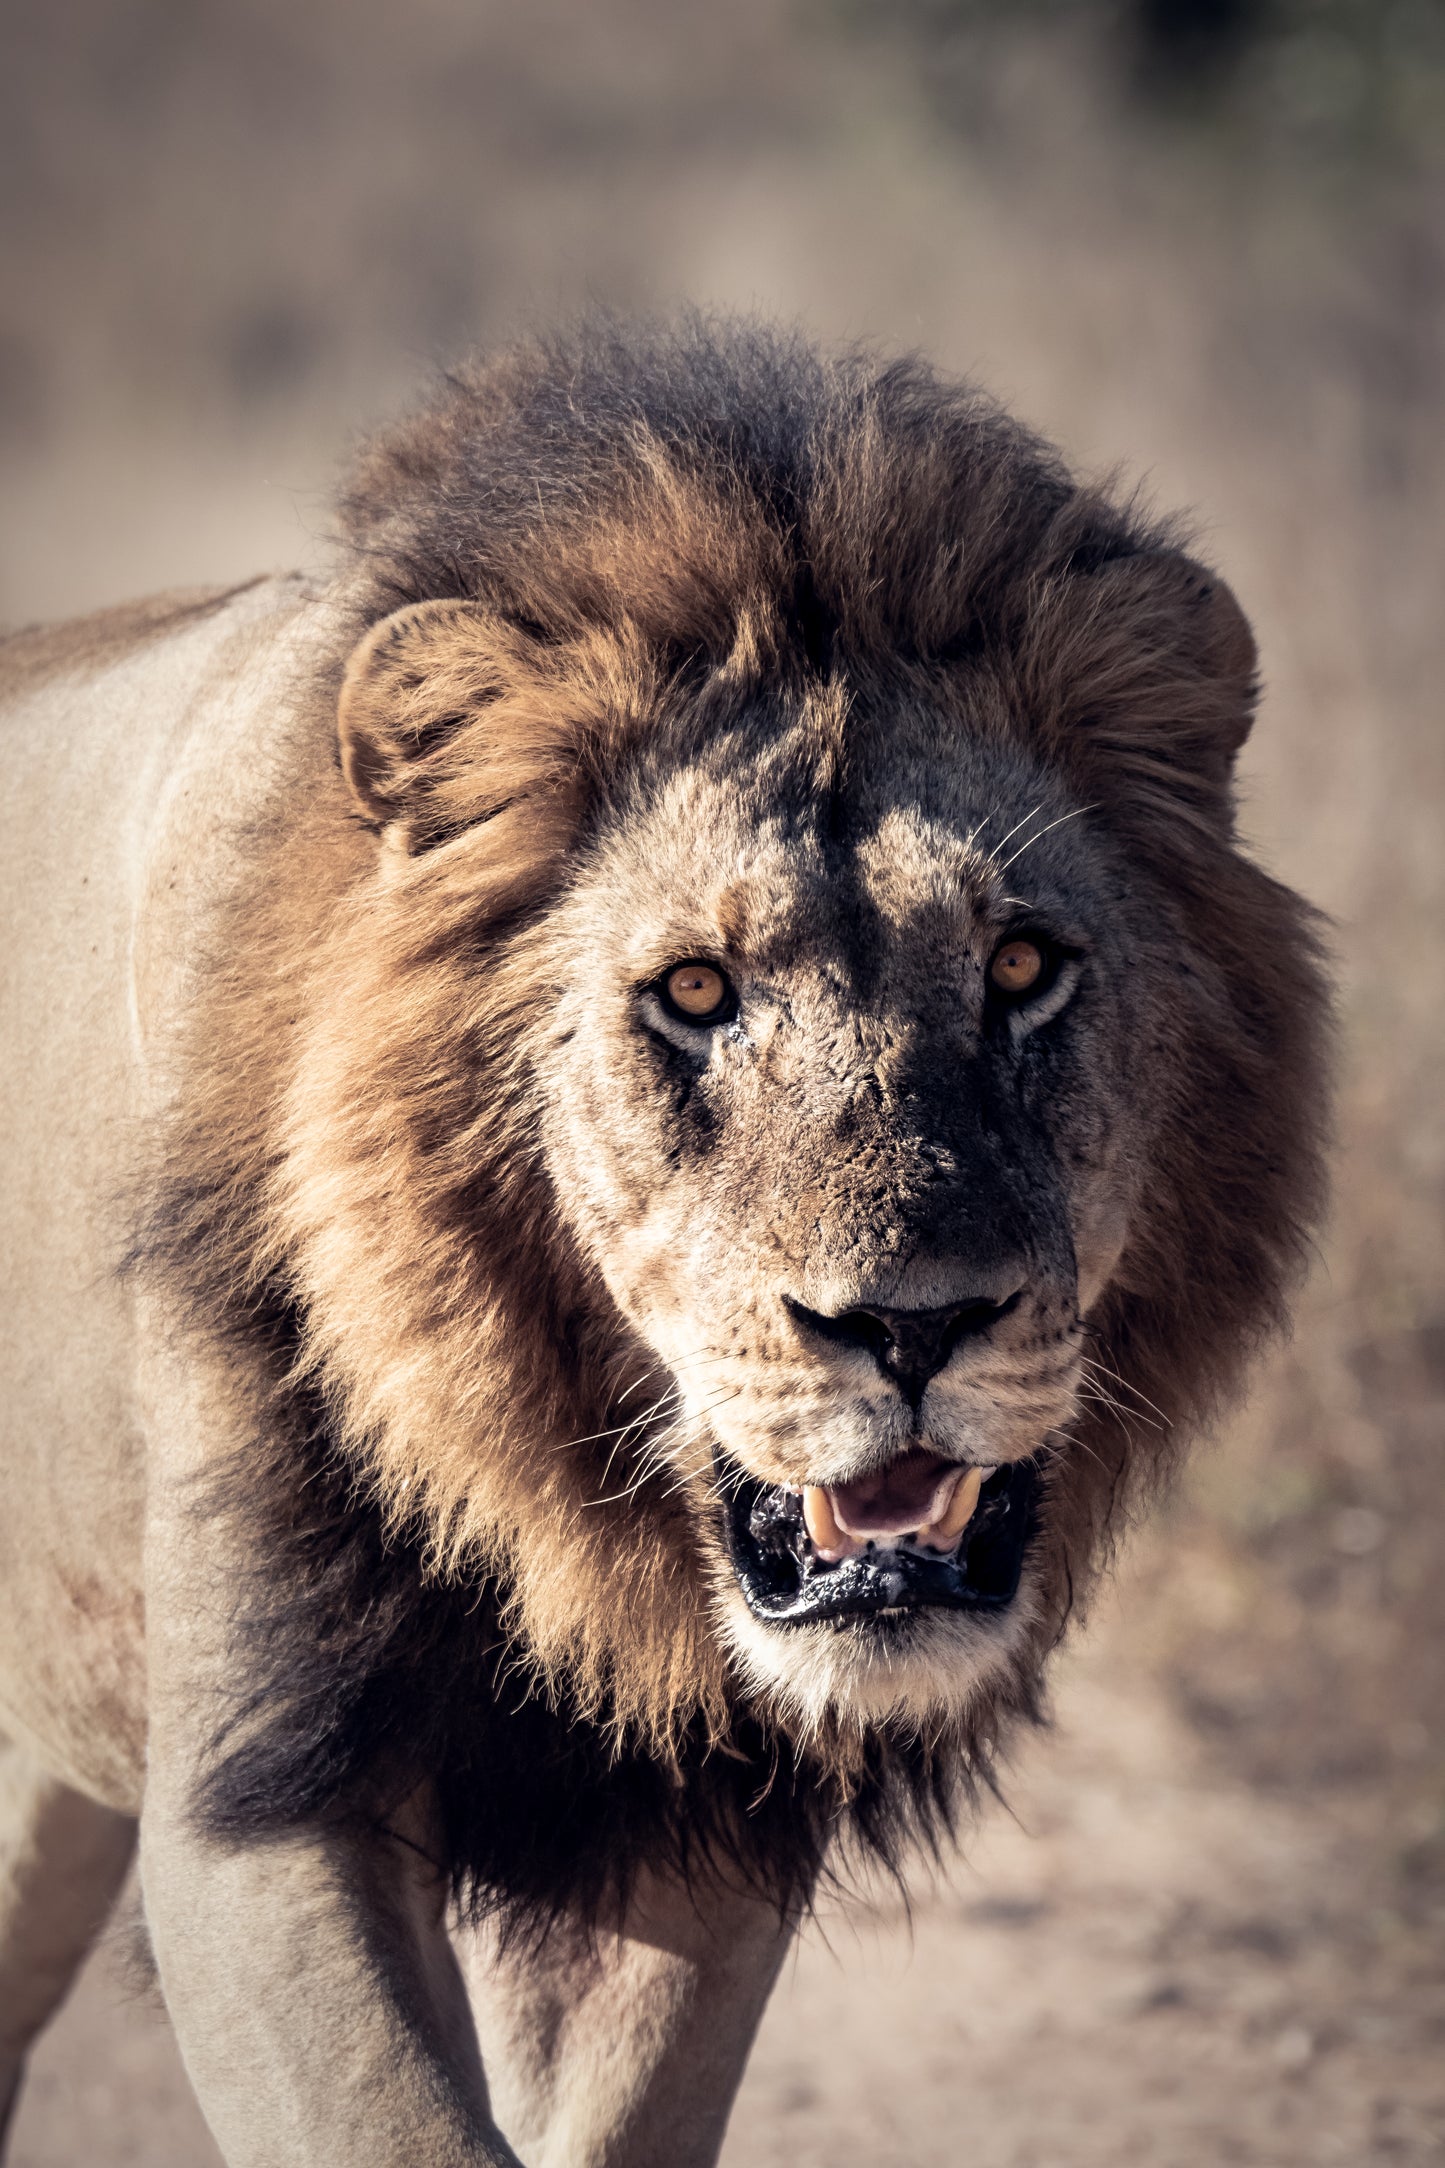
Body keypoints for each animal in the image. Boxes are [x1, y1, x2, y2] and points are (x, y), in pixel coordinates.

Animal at [0, 317, 1329, 2166]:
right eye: (694, 993)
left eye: (1020, 968)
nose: (913, 1327)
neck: (557, 1502)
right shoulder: (263, 1808)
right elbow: (402, 2126)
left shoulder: (699, 1828)